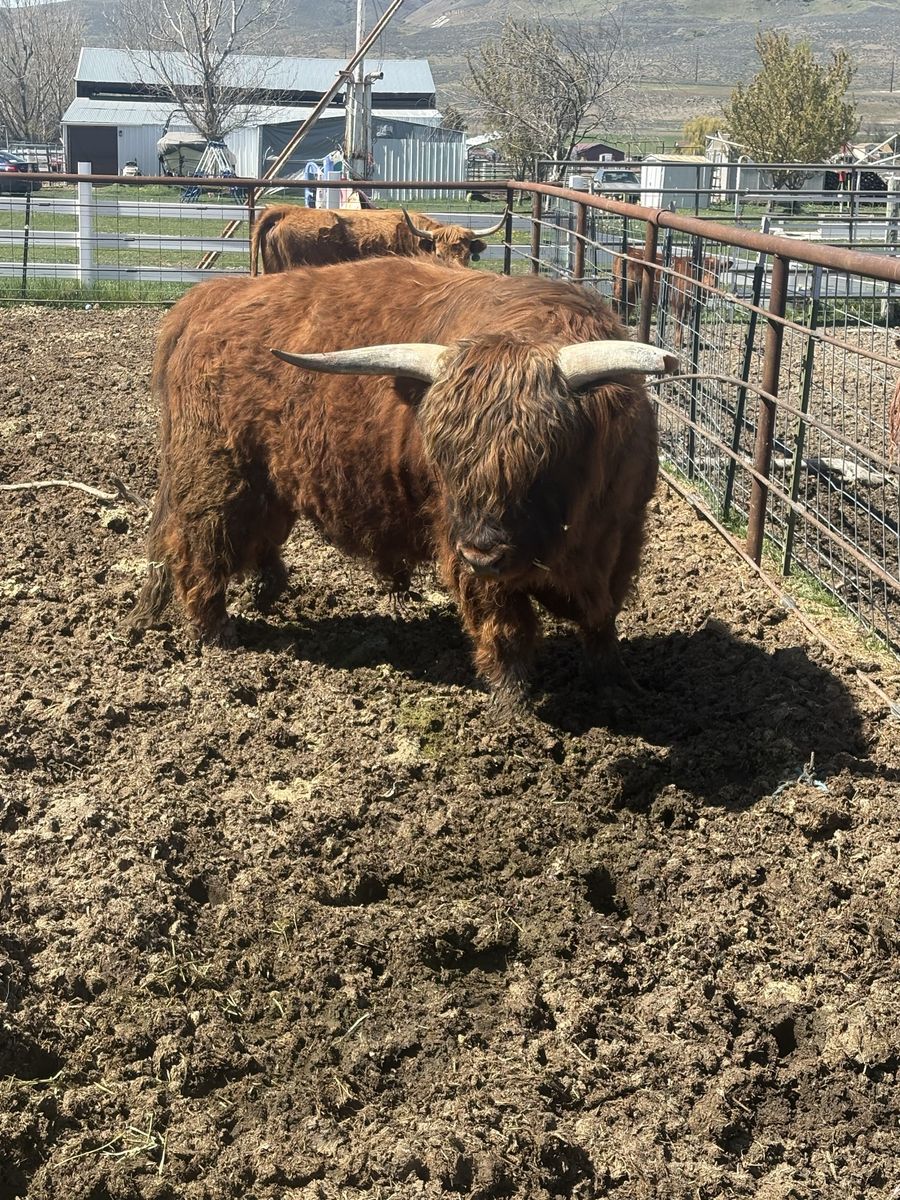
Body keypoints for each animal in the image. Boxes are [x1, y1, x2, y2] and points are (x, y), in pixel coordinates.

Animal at [131, 257, 675, 704]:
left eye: (544, 457)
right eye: (444, 459)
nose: (482, 552)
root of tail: (213, 296)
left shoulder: (621, 538)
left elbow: (602, 621)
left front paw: (619, 685)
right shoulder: (462, 550)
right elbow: (505, 630)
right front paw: (513, 707)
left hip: (268, 484)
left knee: (256, 539)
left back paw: (266, 593)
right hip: (218, 476)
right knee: (198, 551)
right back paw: (216, 635)